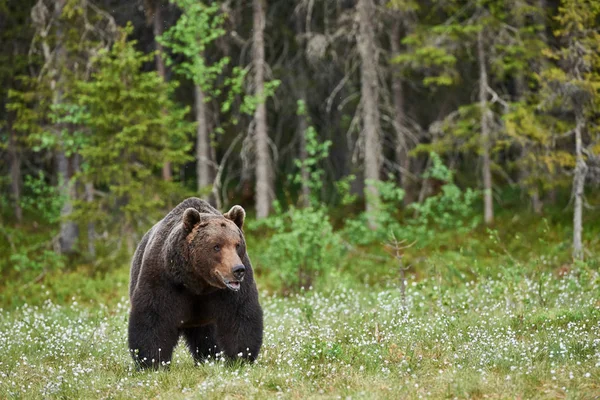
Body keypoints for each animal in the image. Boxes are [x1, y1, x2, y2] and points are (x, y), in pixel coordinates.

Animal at [129, 197, 262, 368]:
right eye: (216, 246)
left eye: (237, 244)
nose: (238, 270)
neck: (197, 281)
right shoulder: (163, 278)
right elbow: (154, 316)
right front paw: (152, 361)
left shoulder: (230, 292)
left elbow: (240, 315)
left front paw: (241, 358)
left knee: (207, 337)